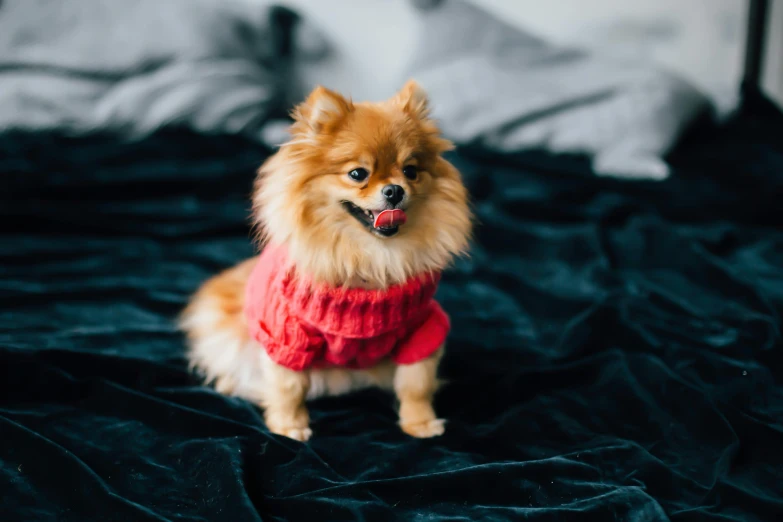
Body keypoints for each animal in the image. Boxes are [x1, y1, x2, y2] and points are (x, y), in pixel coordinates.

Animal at [179, 81, 472, 438]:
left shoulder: (421, 329)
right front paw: (289, 426)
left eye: (411, 171)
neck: (370, 257)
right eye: (358, 173)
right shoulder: (287, 335)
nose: (394, 190)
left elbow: (416, 382)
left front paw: (420, 422)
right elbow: (288, 387)